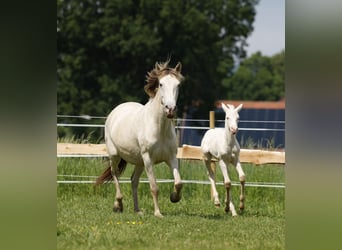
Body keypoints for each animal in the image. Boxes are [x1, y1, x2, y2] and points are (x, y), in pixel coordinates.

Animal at [95, 60, 183, 217]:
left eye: (178, 84)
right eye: (161, 84)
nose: (170, 109)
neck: (159, 128)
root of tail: (115, 111)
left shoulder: (171, 157)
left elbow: (179, 183)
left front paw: (174, 197)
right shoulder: (148, 159)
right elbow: (154, 187)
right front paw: (158, 213)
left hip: (139, 162)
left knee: (133, 181)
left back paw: (137, 210)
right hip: (115, 155)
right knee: (115, 173)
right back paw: (118, 204)